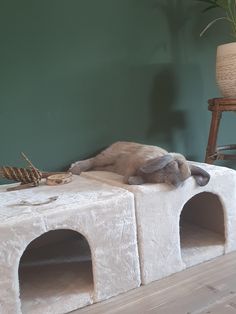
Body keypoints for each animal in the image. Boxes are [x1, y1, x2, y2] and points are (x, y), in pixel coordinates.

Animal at [68, 142, 210, 188]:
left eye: (187, 177)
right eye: (176, 164)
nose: (176, 185)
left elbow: (138, 180)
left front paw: (135, 179)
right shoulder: (134, 163)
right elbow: (128, 178)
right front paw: (131, 179)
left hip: (108, 166)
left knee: (94, 165)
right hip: (106, 158)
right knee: (92, 160)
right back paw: (75, 169)